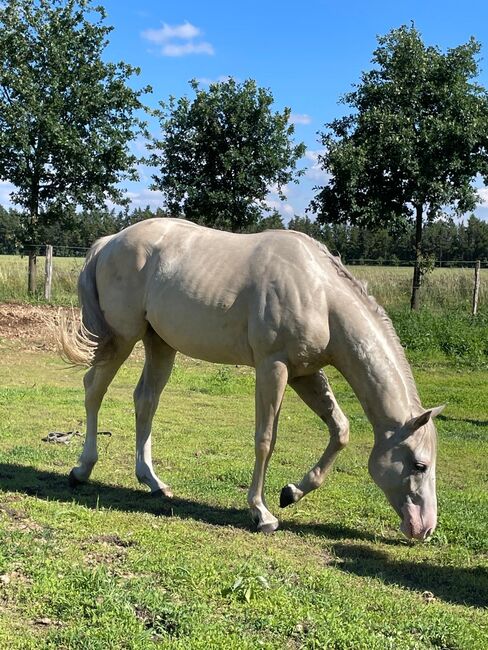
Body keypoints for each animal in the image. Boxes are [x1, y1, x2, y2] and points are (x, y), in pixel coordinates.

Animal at [59, 218, 444, 536]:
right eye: (420, 465)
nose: (425, 529)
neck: (320, 295)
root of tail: (109, 242)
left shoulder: (305, 373)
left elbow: (340, 430)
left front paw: (292, 492)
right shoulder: (273, 367)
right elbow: (266, 439)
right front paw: (262, 513)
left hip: (160, 344)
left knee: (145, 401)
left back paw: (153, 481)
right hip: (121, 339)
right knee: (94, 390)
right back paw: (82, 469)